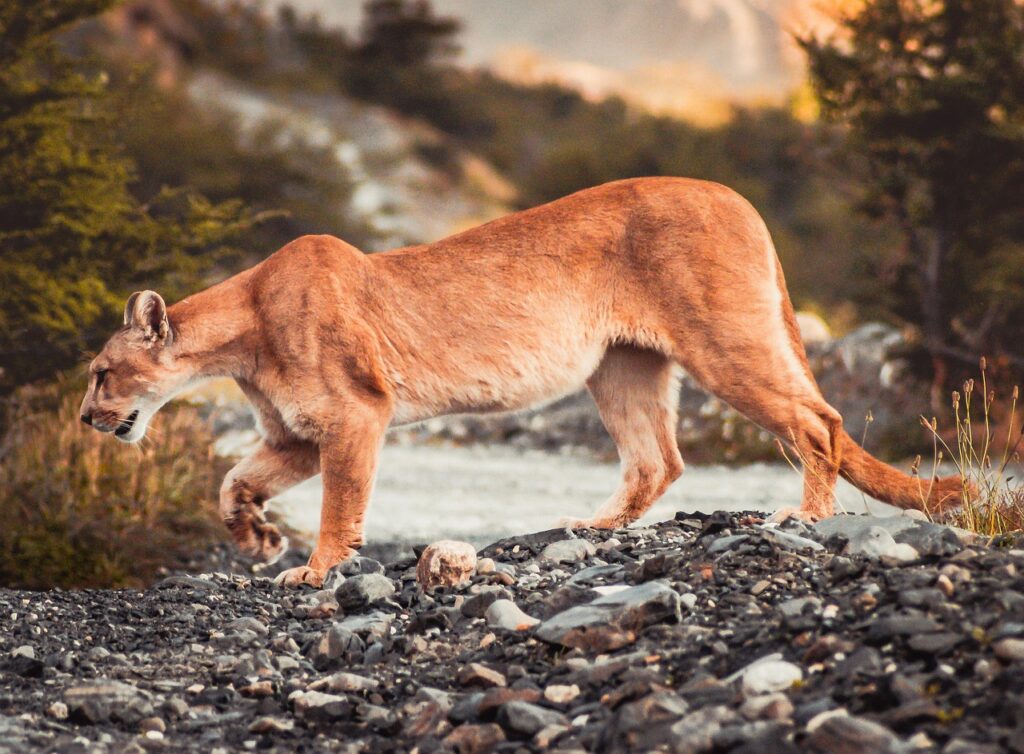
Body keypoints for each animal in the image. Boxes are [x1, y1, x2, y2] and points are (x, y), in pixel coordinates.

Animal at [80, 178, 965, 586]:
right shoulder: (296, 434)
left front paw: (316, 568)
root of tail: (734, 195)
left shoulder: (356, 414)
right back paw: (592, 527)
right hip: (621, 365)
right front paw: (259, 539)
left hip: (723, 344)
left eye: (100, 373)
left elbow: (339, 502)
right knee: (661, 459)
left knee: (819, 422)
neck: (244, 330)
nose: (88, 419)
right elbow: (232, 481)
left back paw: (805, 516)